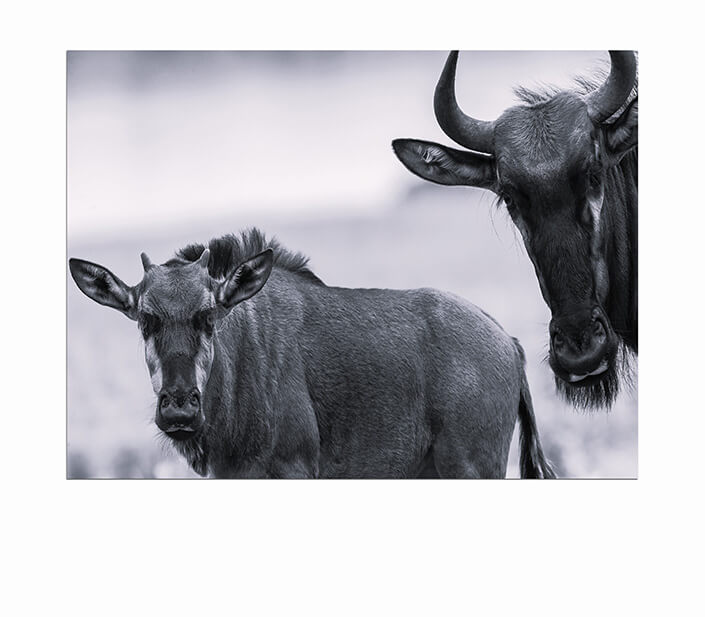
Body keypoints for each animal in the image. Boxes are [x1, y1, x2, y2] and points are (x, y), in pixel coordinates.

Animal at [69, 229, 555, 478]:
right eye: (145, 320)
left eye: (208, 315)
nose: (180, 410)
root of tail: (509, 344)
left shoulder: (294, 469)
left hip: (471, 466)